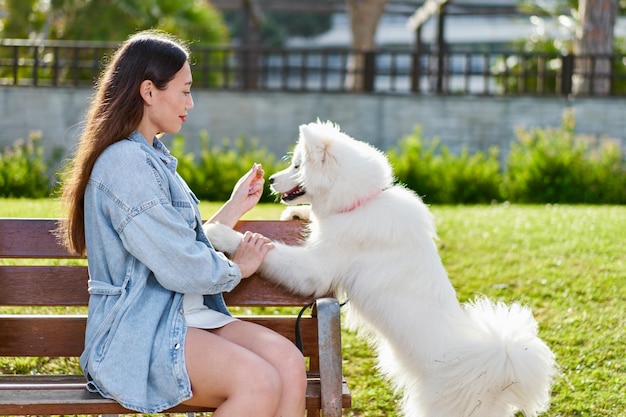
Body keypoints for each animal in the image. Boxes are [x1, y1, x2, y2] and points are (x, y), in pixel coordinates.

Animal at [202, 119, 552, 416]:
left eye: (297, 165)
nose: (272, 179)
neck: (361, 203)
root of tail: (495, 375)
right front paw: (297, 215)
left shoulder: (315, 269)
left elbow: (273, 250)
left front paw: (221, 233)